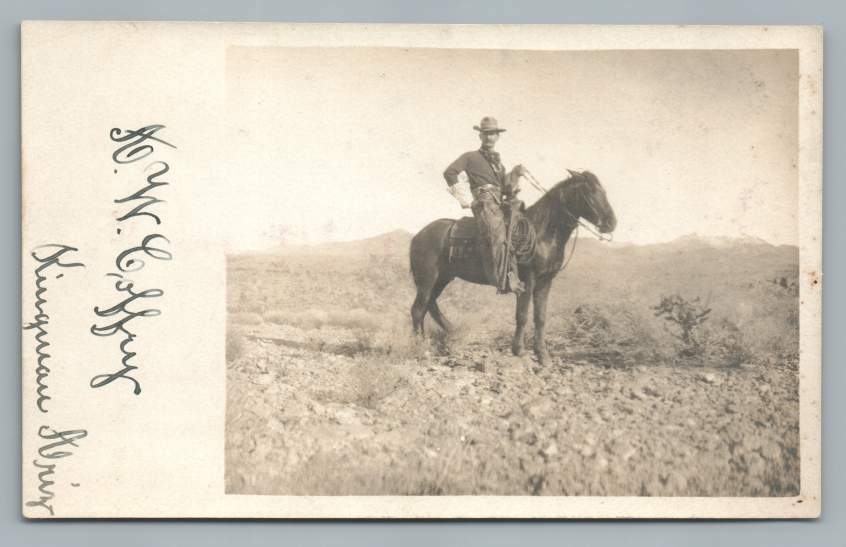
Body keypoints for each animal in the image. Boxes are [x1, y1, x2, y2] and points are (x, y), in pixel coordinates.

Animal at [409, 170, 617, 364]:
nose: (611, 223)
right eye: (589, 191)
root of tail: (418, 235)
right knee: (418, 309)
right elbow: (522, 315)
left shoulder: (545, 282)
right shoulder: (528, 281)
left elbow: (540, 317)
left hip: (442, 279)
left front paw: (542, 354)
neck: (542, 232)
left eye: (603, 191)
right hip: (427, 279)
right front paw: (519, 350)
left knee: (429, 306)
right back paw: (421, 348)